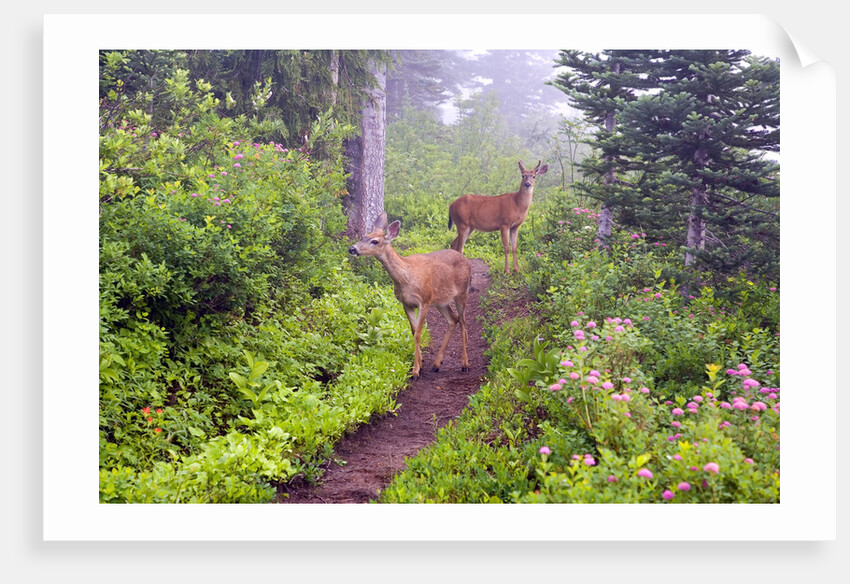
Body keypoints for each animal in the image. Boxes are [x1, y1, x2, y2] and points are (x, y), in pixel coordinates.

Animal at [348, 213, 471, 380]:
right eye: (363, 236)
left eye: (375, 241)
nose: (352, 249)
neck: (406, 279)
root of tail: (467, 261)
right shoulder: (405, 303)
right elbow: (413, 332)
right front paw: (420, 365)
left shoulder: (424, 300)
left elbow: (418, 334)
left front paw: (415, 372)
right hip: (441, 301)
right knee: (453, 320)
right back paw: (436, 364)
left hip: (462, 293)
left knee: (463, 322)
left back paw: (465, 364)